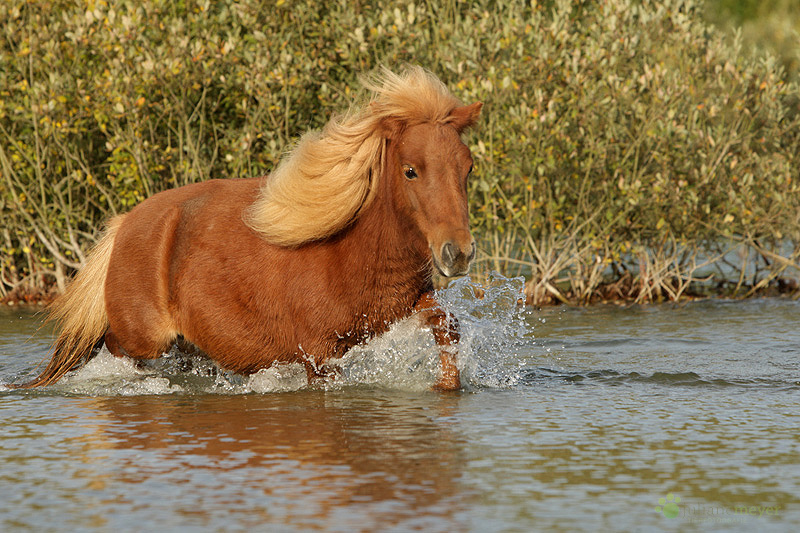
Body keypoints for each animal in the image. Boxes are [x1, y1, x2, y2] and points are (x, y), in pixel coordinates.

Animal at [20, 67, 482, 390]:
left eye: (468, 167)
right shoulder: (318, 356)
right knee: (113, 348)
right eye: (410, 171)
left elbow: (449, 326)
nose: (458, 252)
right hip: (143, 337)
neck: (349, 252)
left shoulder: (401, 308)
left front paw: (447, 385)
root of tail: (125, 223)